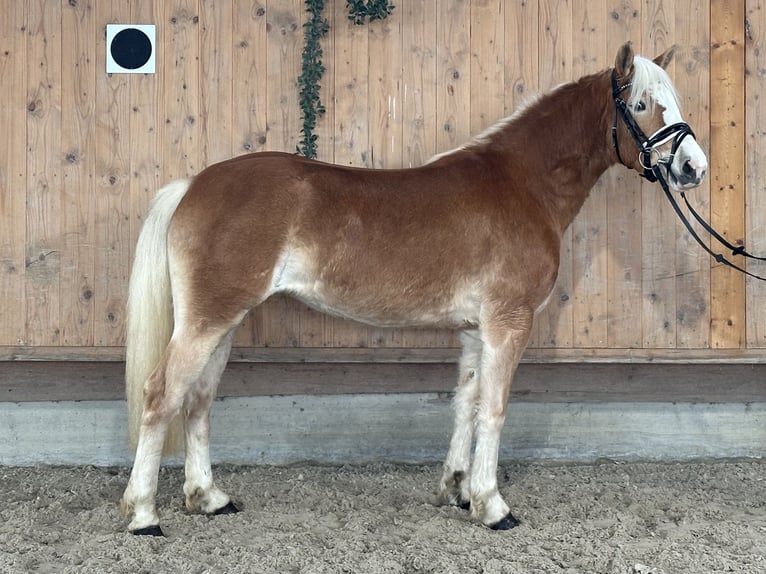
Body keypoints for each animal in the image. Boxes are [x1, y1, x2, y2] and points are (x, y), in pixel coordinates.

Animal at [118, 42, 708, 536]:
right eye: (641, 103)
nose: (692, 167)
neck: (522, 184)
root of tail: (193, 184)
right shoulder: (509, 322)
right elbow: (495, 408)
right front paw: (492, 506)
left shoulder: (475, 329)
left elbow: (466, 402)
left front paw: (458, 490)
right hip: (207, 321)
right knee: (162, 395)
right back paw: (144, 514)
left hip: (225, 321)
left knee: (198, 400)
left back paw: (209, 498)